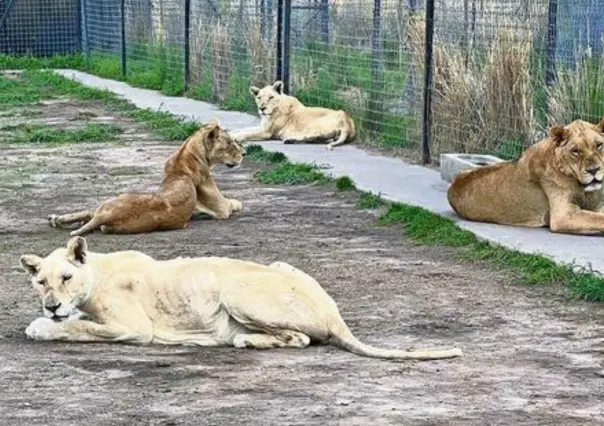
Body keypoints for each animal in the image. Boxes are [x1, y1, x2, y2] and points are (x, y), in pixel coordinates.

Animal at [18, 238, 462, 362]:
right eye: (40, 282)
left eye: (66, 278)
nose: (51, 304)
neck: (95, 272)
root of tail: (335, 314)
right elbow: (75, 322)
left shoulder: (134, 328)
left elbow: (78, 327)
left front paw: (41, 325)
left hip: (233, 289)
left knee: (301, 339)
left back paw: (243, 340)